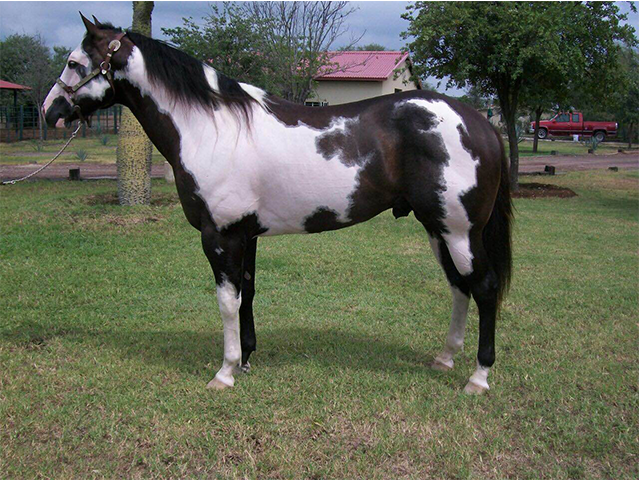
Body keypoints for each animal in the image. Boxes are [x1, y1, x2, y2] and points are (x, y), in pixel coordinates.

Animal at [43, 15, 512, 394]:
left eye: (74, 62)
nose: (49, 110)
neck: (211, 129)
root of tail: (479, 123)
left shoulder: (221, 236)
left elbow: (227, 301)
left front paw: (225, 371)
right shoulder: (246, 235)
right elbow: (247, 293)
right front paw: (247, 360)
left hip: (459, 231)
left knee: (484, 288)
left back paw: (478, 377)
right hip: (437, 228)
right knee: (459, 287)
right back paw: (445, 358)